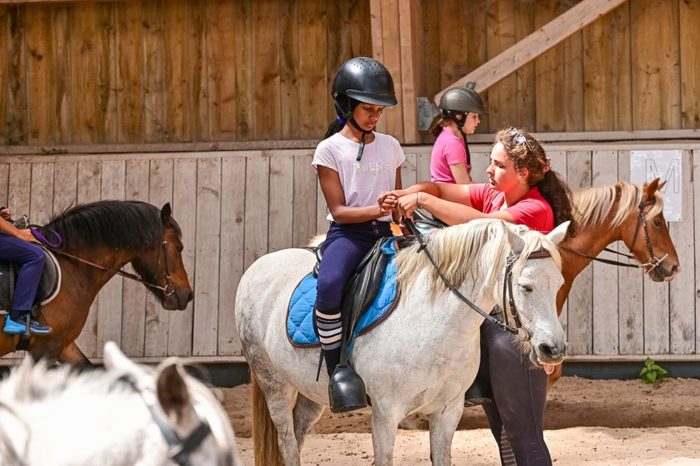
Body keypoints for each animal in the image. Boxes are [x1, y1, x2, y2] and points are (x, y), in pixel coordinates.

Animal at [235, 219, 568, 466]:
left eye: (559, 284)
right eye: (526, 287)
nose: (553, 349)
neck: (434, 322)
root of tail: (259, 264)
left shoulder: (448, 411)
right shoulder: (386, 413)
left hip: (311, 390)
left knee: (299, 429)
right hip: (273, 382)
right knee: (287, 440)